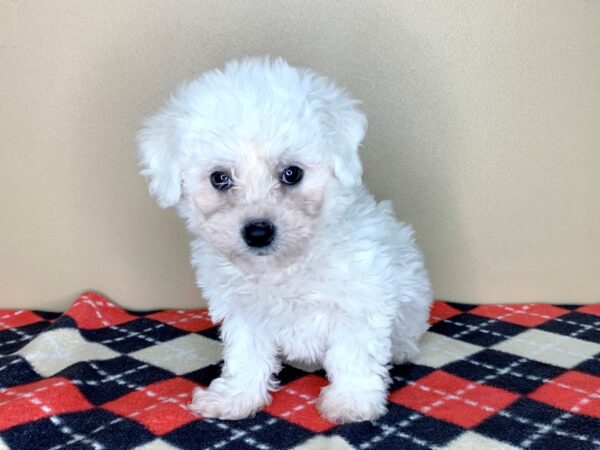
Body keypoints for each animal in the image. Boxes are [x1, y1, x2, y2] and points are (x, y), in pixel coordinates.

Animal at [139, 58, 434, 424]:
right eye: (219, 178)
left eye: (292, 173)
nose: (257, 232)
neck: (284, 265)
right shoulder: (244, 312)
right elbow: (246, 356)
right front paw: (237, 397)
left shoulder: (360, 300)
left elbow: (353, 354)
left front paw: (352, 401)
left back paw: (402, 348)